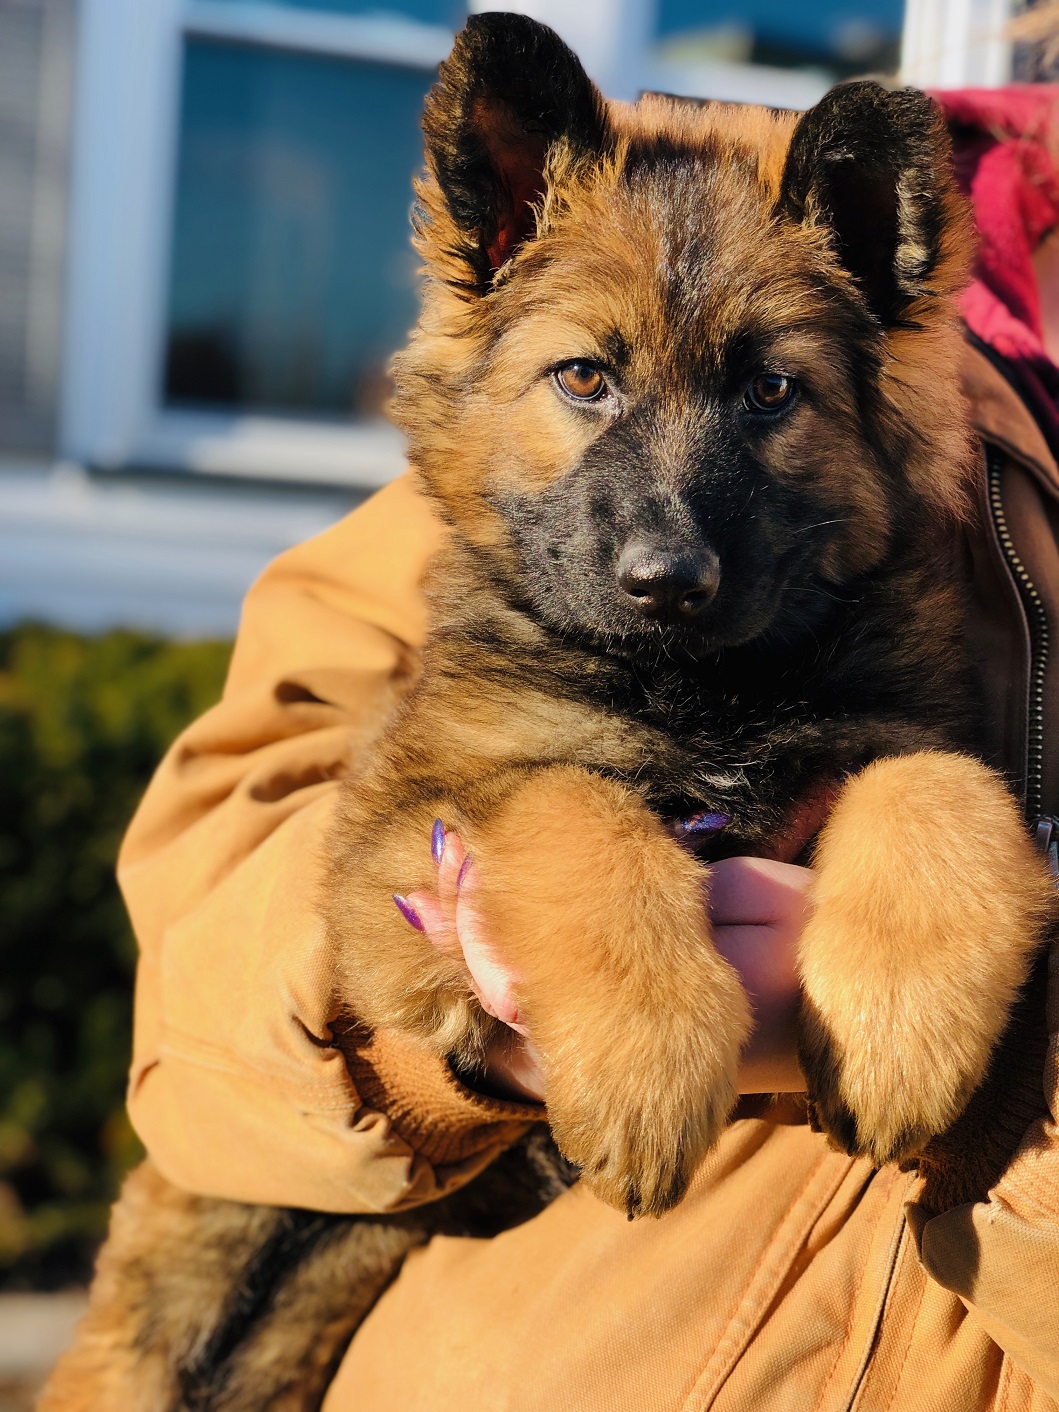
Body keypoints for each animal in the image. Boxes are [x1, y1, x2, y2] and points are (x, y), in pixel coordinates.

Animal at [37, 13, 1056, 1412]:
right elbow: (570, 802)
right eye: (584, 377)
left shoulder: (888, 729)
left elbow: (946, 784)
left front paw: (904, 1025)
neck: (698, 692)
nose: (667, 580)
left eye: (771, 393)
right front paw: (646, 1056)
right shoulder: (396, 857)